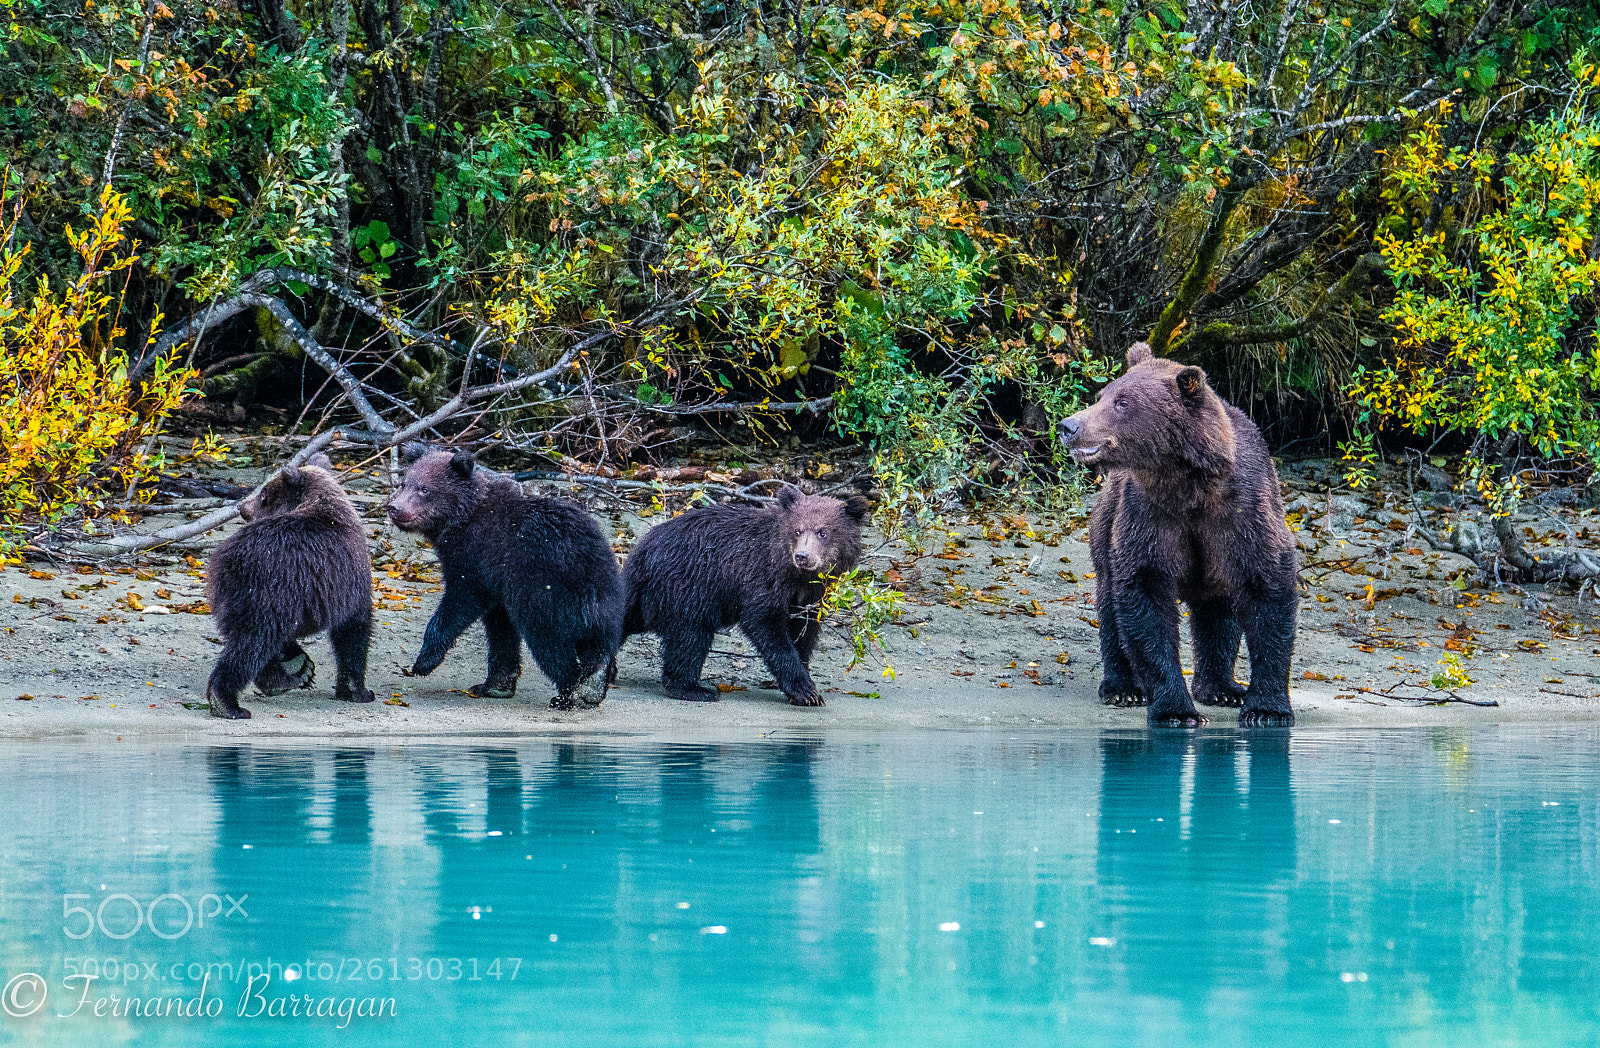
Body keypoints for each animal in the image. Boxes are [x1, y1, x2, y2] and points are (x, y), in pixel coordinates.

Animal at [205, 452, 376, 719]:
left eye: (264, 495)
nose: (242, 507)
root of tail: (234, 558)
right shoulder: (348, 582)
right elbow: (353, 631)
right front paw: (357, 690)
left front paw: (299, 664)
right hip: (271, 590)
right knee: (252, 644)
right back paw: (227, 702)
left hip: (234, 594)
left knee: (248, 639)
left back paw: (279, 679)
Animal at [386, 447, 623, 710]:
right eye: (404, 483)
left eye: (424, 489)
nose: (394, 507)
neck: (462, 518)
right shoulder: (500, 585)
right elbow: (501, 631)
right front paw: (494, 685)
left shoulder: (478, 559)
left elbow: (459, 602)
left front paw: (424, 661)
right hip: (605, 597)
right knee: (598, 644)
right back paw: (593, 685)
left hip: (546, 593)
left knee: (550, 643)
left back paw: (569, 694)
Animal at [616, 485, 869, 706]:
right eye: (798, 530)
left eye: (823, 532)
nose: (802, 556)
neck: (798, 578)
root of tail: (643, 549)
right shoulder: (762, 576)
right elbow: (765, 623)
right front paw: (805, 691)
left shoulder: (811, 598)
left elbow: (804, 634)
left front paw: (805, 678)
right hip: (690, 585)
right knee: (690, 637)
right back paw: (694, 689)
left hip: (650, 595)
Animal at [1057, 341, 1298, 727]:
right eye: (1102, 395)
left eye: (1123, 402)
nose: (1069, 425)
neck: (1188, 486)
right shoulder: (1149, 515)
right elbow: (1146, 594)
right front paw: (1176, 710)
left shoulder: (1243, 514)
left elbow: (1268, 592)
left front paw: (1266, 710)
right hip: (1107, 524)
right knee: (1109, 601)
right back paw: (1122, 687)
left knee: (1218, 613)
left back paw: (1222, 688)